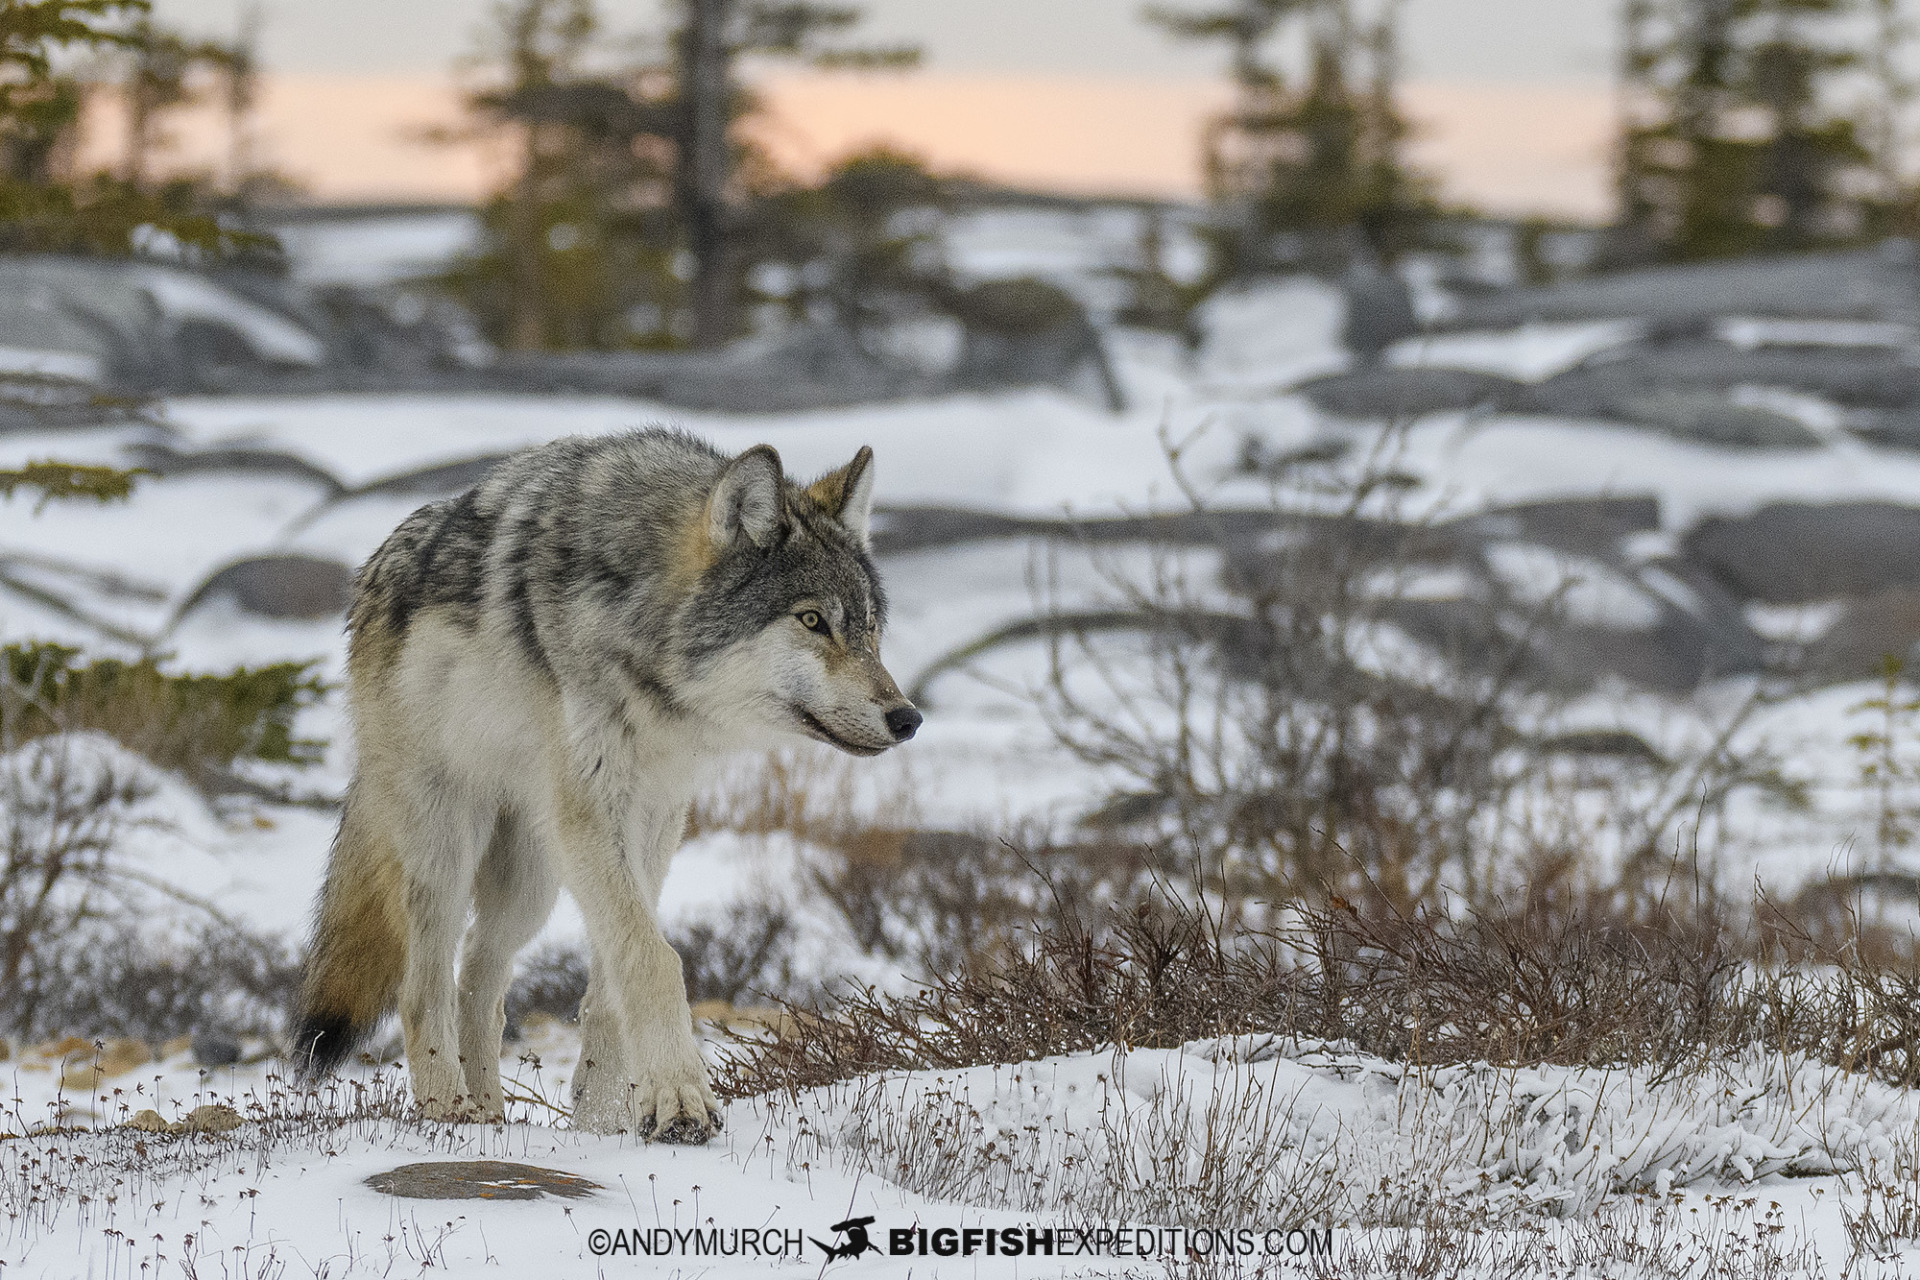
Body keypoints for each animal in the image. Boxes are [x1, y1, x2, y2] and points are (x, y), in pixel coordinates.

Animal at [293, 429, 921, 1143]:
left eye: (870, 627)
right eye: (812, 620)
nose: (907, 718)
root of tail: (368, 580)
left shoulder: (655, 815)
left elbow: (613, 982)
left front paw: (604, 1119)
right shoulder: (593, 816)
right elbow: (654, 959)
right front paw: (681, 1100)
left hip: (531, 882)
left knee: (478, 974)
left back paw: (489, 1117)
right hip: (450, 850)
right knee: (423, 988)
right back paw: (449, 1114)